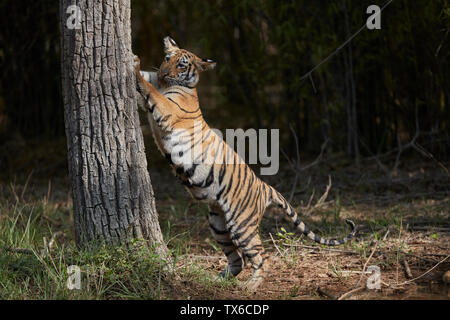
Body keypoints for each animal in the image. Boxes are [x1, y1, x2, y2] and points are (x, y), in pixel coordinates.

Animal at [133, 37, 356, 290]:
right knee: (237, 259)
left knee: (261, 257)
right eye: (166, 58)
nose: (164, 72)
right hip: (218, 224)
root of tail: (264, 186)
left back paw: (250, 285)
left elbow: (150, 89)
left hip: (241, 224)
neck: (167, 84)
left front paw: (134, 65)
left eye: (181, 65)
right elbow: (148, 84)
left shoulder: (166, 109)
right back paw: (216, 280)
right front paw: (134, 58)